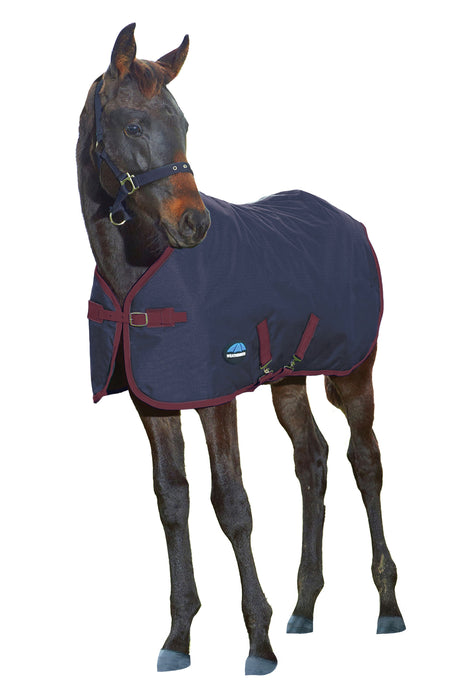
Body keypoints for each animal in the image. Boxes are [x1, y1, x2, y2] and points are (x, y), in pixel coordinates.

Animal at [76, 23, 405, 676]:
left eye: (183, 123)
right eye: (133, 126)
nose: (194, 224)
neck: (138, 276)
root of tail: (350, 222)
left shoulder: (215, 396)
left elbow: (231, 503)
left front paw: (258, 641)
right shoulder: (154, 403)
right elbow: (173, 501)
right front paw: (178, 638)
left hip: (353, 372)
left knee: (365, 460)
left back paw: (387, 606)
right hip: (289, 380)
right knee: (312, 459)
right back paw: (304, 606)